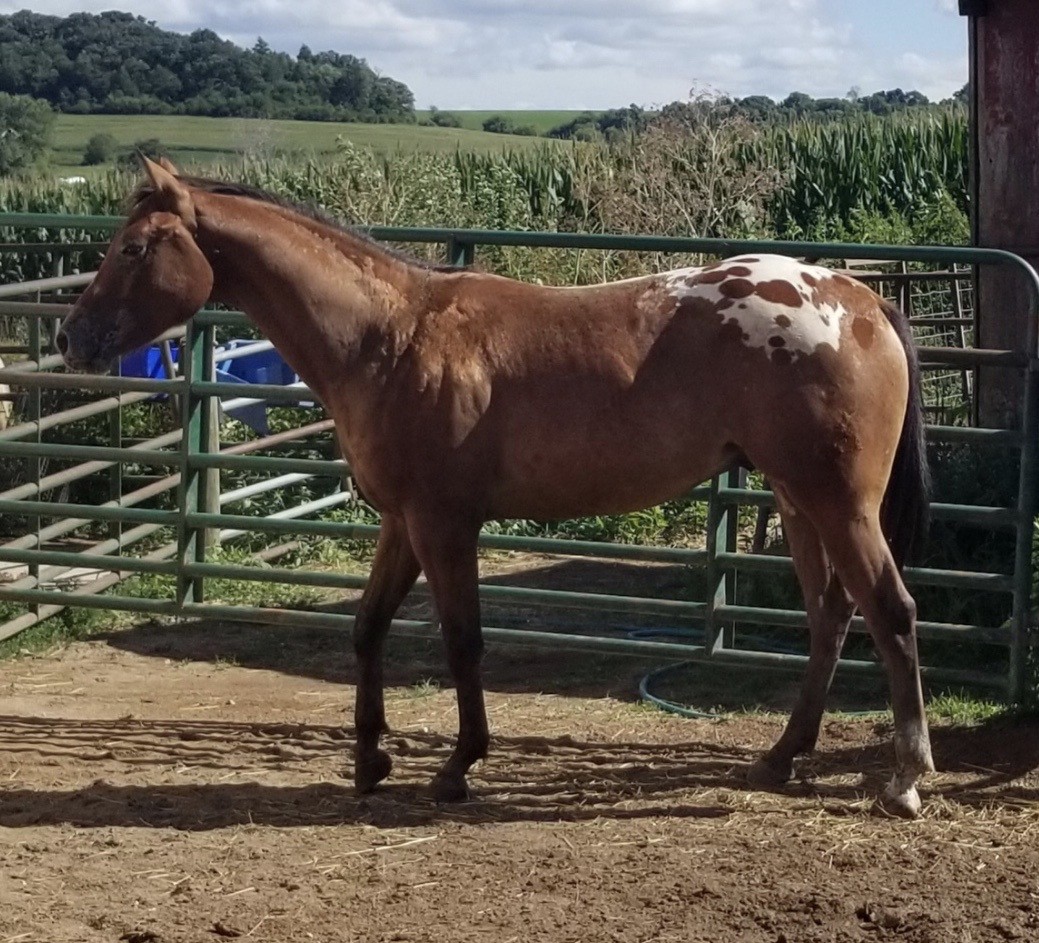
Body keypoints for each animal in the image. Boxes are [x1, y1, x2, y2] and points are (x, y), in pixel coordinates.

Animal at [57, 158, 934, 817]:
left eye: (135, 248)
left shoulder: (444, 523)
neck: (389, 335)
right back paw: (781, 757)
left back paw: (904, 778)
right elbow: (367, 628)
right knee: (829, 618)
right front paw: (369, 759)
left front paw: (456, 766)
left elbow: (461, 640)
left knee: (890, 611)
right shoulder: (402, 523)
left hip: (837, 504)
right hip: (795, 501)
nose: (72, 338)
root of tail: (859, 299)